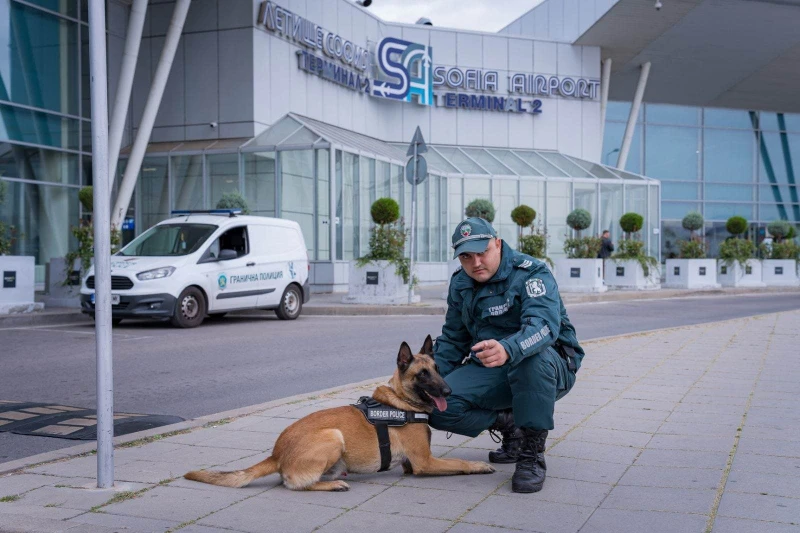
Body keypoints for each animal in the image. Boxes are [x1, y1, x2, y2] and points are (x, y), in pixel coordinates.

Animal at [186, 336, 494, 490]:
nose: (449, 391)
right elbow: (460, 462)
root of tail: (276, 453)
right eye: (423, 375)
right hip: (334, 436)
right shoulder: (424, 463)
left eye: (438, 370)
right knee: (294, 484)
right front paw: (478, 466)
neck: (400, 403)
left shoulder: (412, 464)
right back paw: (333, 485)